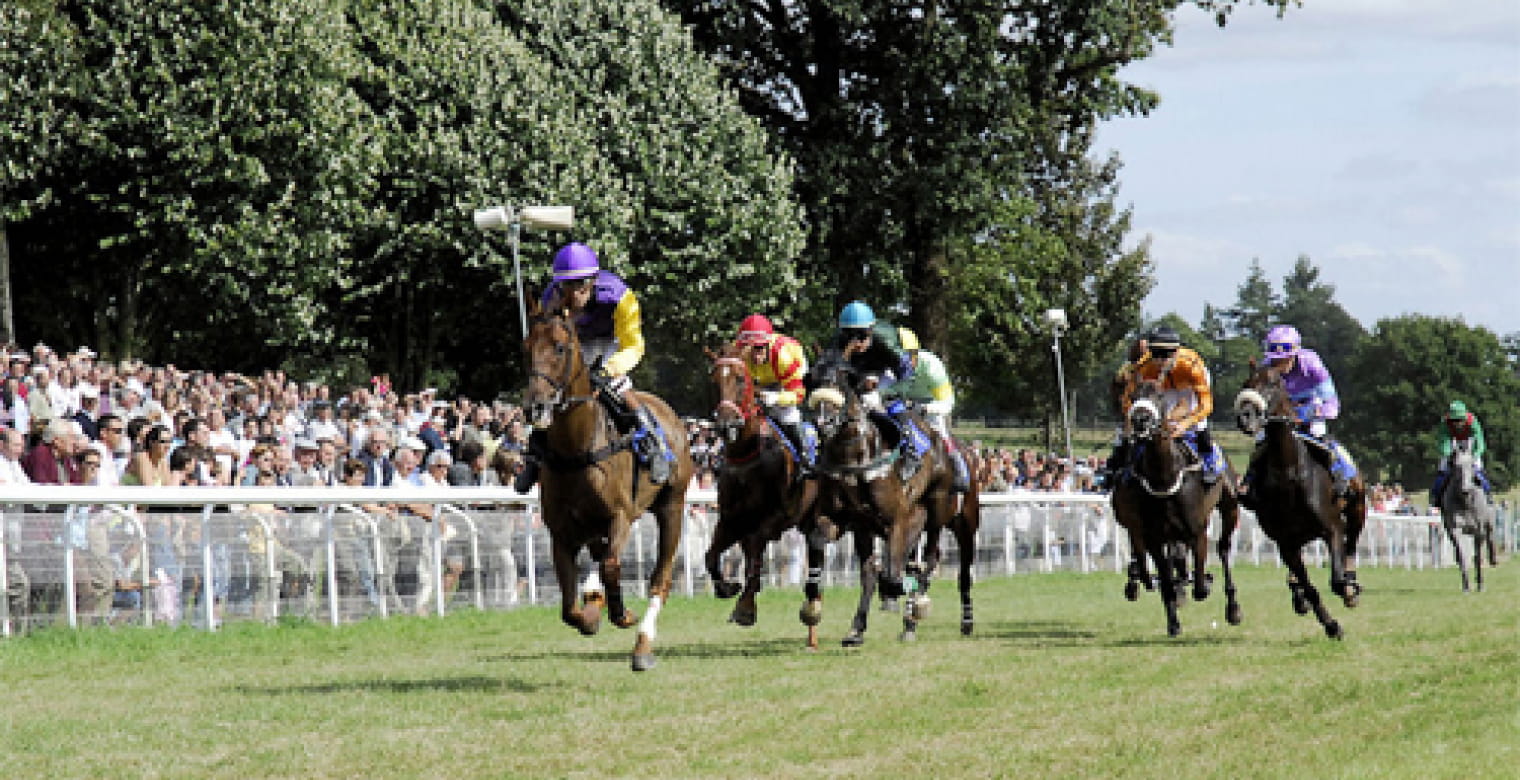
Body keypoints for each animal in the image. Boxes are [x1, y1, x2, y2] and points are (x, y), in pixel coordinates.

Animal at [519, 304, 693, 669]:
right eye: (525, 349)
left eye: (560, 348)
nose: (535, 406)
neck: (577, 448)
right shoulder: (562, 532)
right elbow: (569, 610)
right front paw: (591, 614)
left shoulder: (620, 516)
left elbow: (612, 567)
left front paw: (622, 613)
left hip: (672, 506)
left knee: (660, 580)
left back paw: (642, 645)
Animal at [699, 343, 820, 641]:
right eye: (714, 380)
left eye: (741, 379)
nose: (725, 423)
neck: (748, 455)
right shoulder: (731, 519)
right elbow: (711, 556)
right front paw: (727, 587)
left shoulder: (775, 518)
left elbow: (755, 556)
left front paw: (744, 607)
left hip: (816, 516)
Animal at [1112, 380, 1240, 635]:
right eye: (1132, 396)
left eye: (1159, 396)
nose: (1140, 419)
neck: (1165, 477)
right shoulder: (1152, 536)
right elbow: (1164, 578)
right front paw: (1173, 622)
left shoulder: (1197, 532)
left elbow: (1200, 584)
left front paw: (1203, 582)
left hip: (1230, 507)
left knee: (1223, 548)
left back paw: (1232, 607)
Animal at [1234, 360, 1368, 638]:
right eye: (1246, 383)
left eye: (1272, 383)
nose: (1245, 417)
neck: (1289, 474)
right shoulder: (1286, 543)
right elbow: (1310, 588)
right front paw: (1331, 625)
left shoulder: (1332, 528)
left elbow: (1337, 581)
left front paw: (1349, 589)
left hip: (1357, 508)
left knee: (1351, 544)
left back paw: (1351, 582)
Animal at [1434, 437, 1495, 589]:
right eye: (1457, 466)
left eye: (1472, 465)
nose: (1465, 490)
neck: (1465, 502)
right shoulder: (1454, 528)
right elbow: (1461, 555)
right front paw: (1466, 585)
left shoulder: (1479, 529)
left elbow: (1478, 556)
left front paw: (1480, 583)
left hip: (1489, 521)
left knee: (1490, 536)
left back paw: (1493, 559)